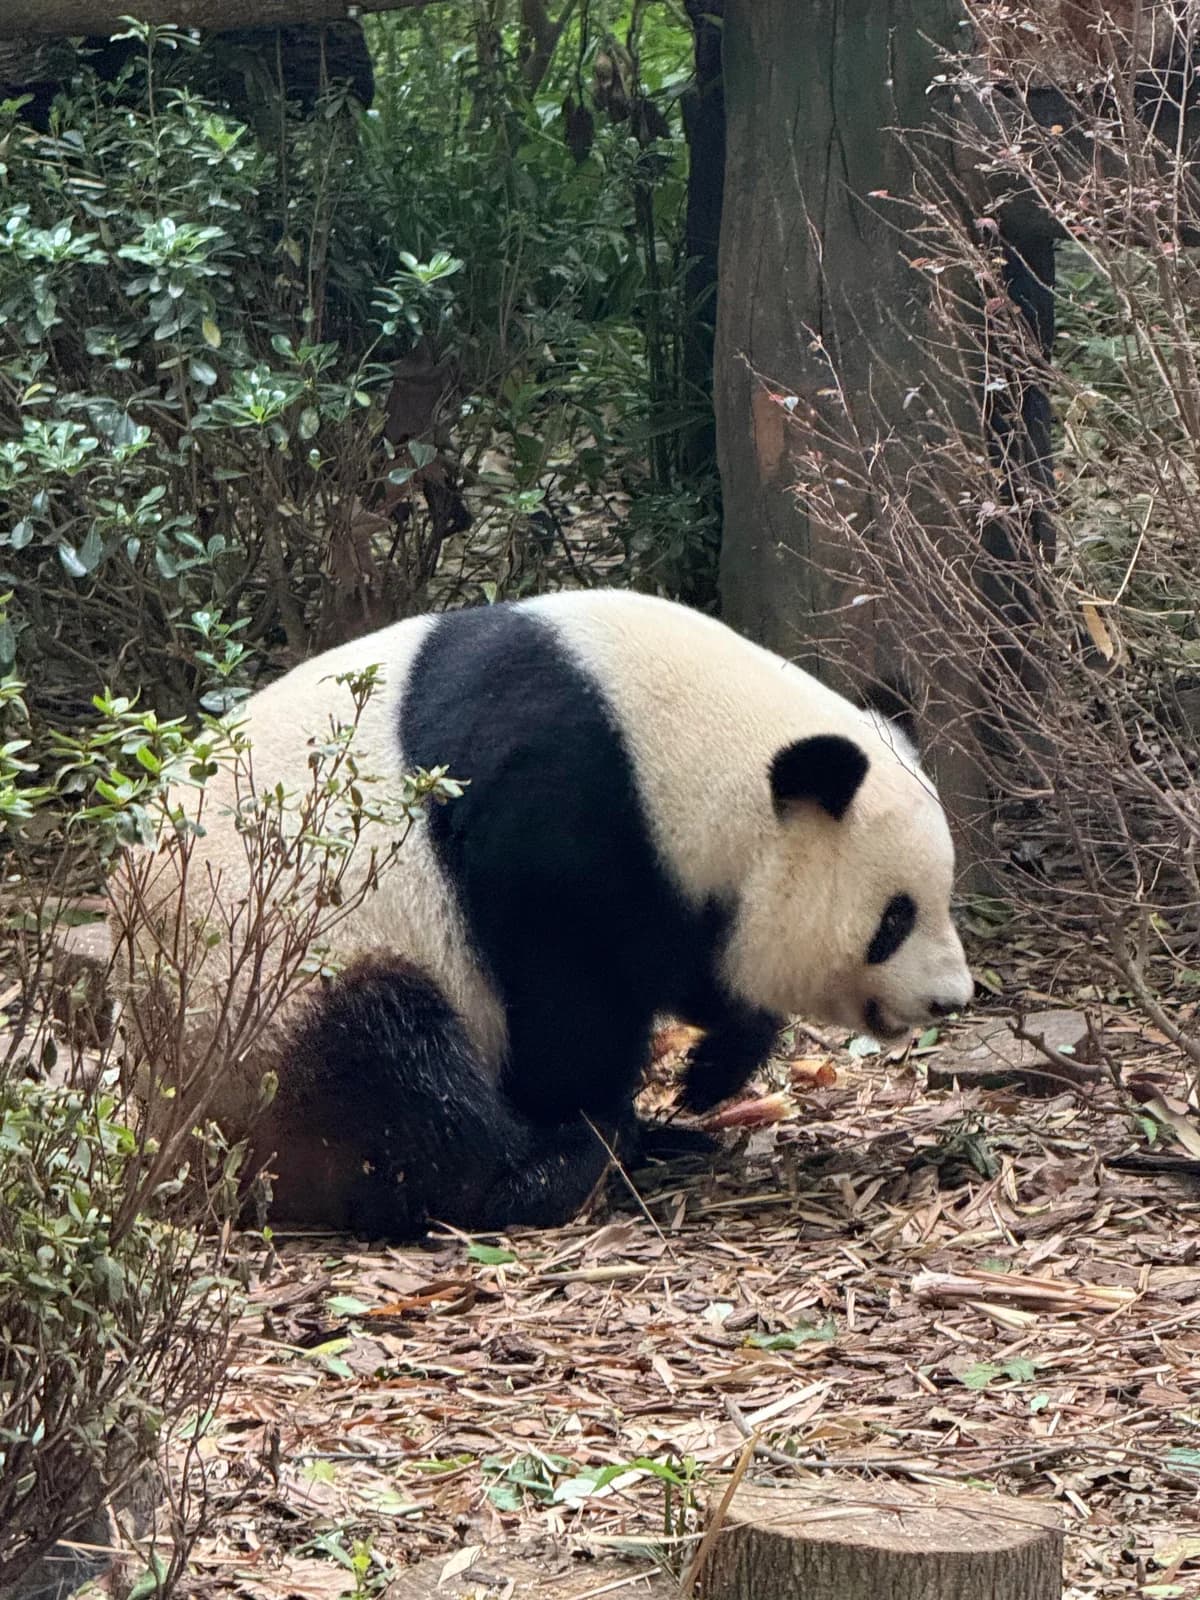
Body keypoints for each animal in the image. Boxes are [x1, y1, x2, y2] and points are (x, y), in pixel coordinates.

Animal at [115, 590, 973, 1237]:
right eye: (894, 919)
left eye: (945, 896)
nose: (949, 999)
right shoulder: (550, 811)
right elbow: (567, 992)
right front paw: (598, 1113)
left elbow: (682, 964)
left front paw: (711, 1071)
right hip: (263, 996)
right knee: (386, 1066)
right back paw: (557, 1167)